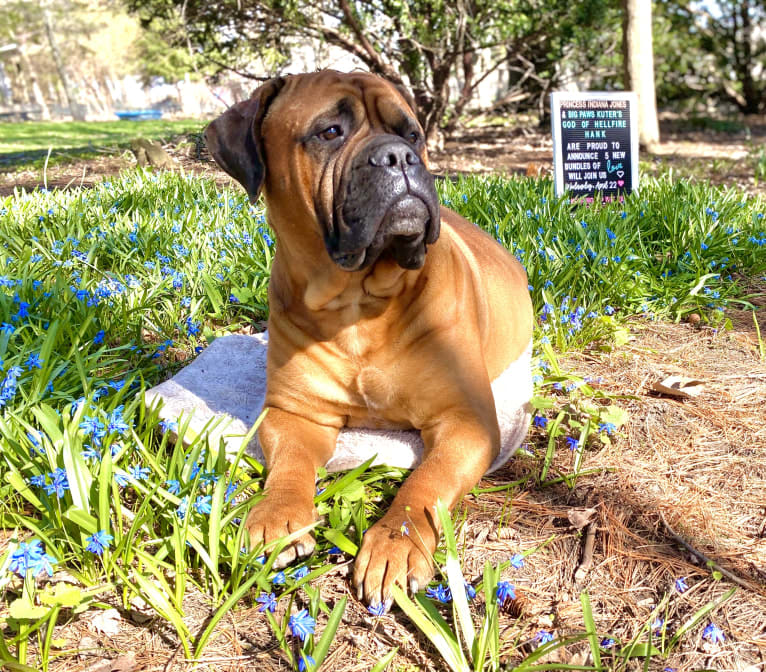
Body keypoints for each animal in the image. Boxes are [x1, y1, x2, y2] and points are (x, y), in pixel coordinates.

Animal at [204, 69, 536, 608]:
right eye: (329, 132)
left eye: (412, 135)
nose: (398, 156)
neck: (358, 305)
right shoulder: (295, 412)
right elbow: (290, 465)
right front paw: (277, 514)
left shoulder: (466, 420)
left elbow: (426, 482)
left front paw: (394, 543)